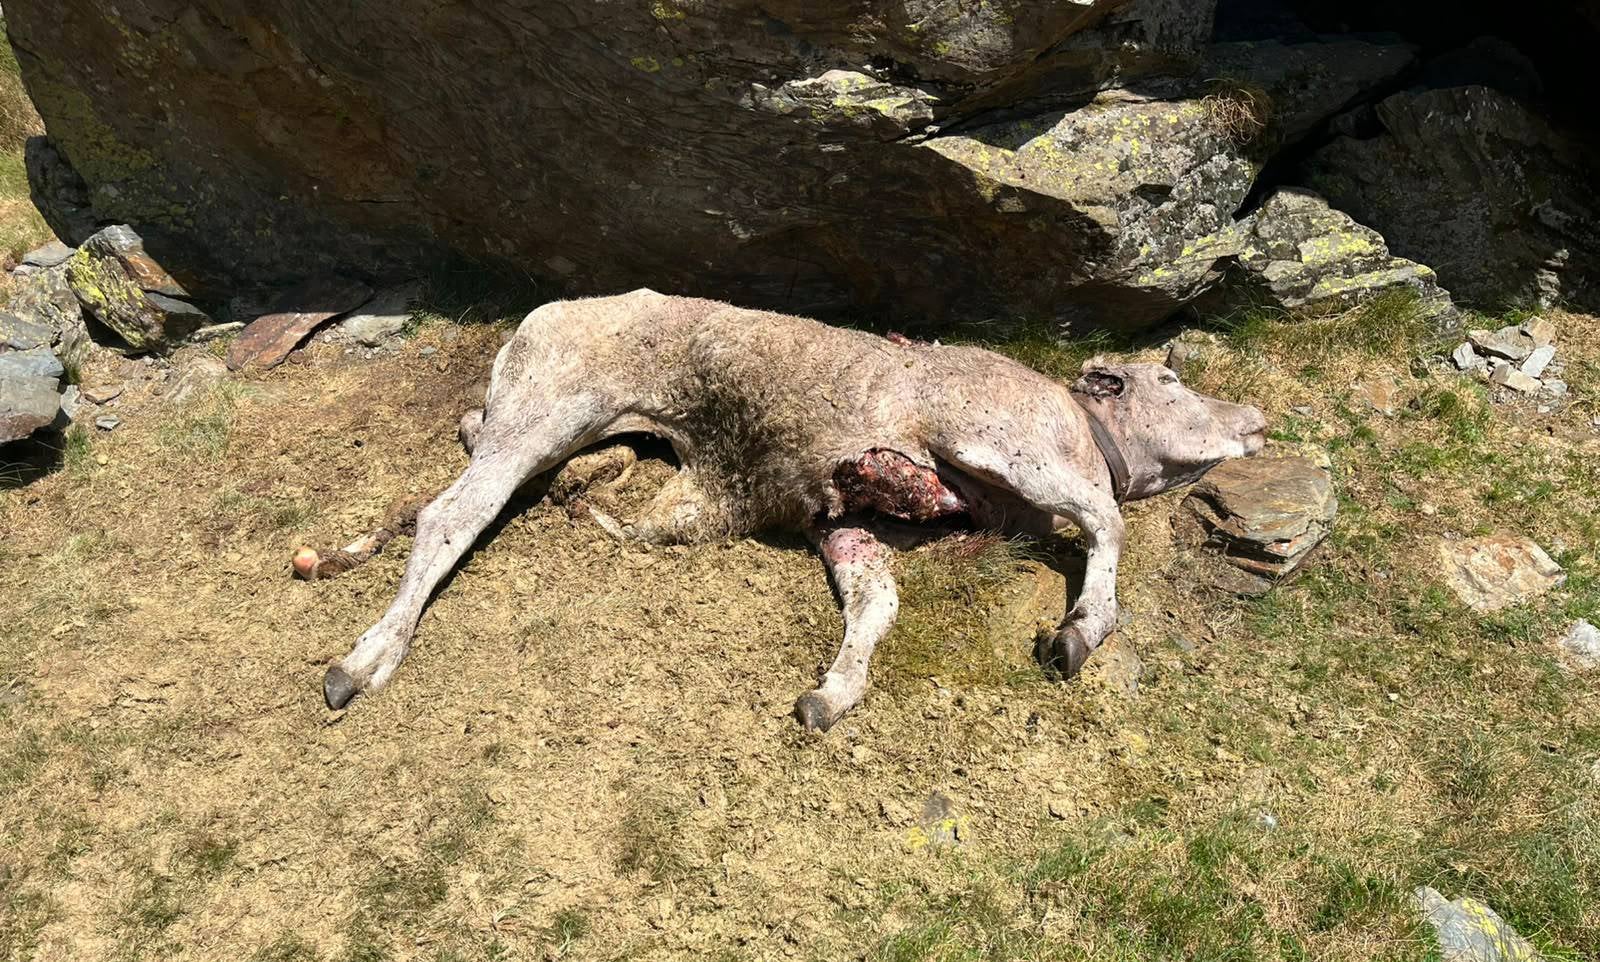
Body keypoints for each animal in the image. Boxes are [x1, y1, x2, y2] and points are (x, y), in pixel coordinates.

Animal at [306, 290, 1266, 730]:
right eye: (1170, 379)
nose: (1254, 419)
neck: (1085, 431)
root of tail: (542, 315)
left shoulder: (843, 520)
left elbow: (878, 603)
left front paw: (832, 693)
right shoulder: (997, 435)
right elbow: (1107, 522)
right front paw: (1081, 628)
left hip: (547, 427)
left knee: (477, 465)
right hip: (549, 407)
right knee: (448, 514)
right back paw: (363, 660)